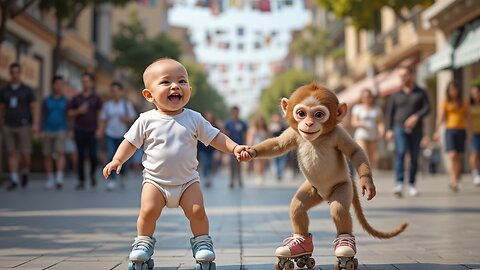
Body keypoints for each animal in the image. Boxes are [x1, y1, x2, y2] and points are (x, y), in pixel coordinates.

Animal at [239, 83, 404, 268]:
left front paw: (367, 183)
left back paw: (345, 250)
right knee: (298, 207)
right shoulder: (294, 133)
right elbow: (277, 145)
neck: (317, 138)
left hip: (343, 187)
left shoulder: (339, 134)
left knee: (339, 209)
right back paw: (300, 249)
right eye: (301, 113)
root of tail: (325, 196)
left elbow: (355, 152)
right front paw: (248, 152)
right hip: (312, 189)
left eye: (319, 114)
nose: (309, 123)